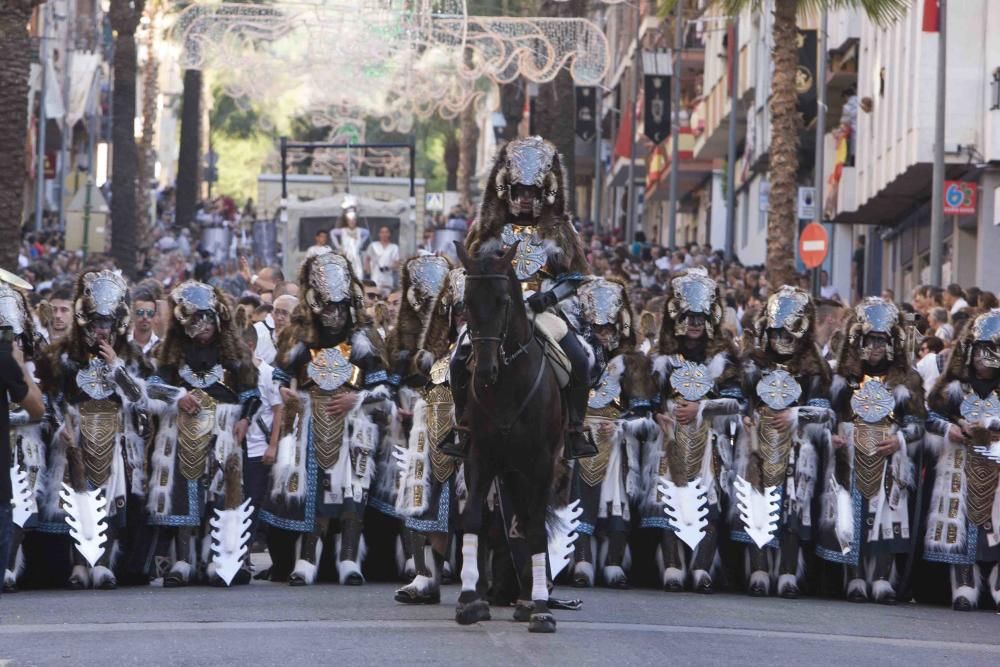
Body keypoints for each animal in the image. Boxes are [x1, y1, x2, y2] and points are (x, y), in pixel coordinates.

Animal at [452, 240, 564, 632]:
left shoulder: (543, 464)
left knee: (529, 524)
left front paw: (542, 608)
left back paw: (531, 599)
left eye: (502, 301)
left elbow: (536, 531)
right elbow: (472, 518)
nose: (485, 371)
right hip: (511, 470)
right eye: (467, 302)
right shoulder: (480, 456)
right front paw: (470, 599)